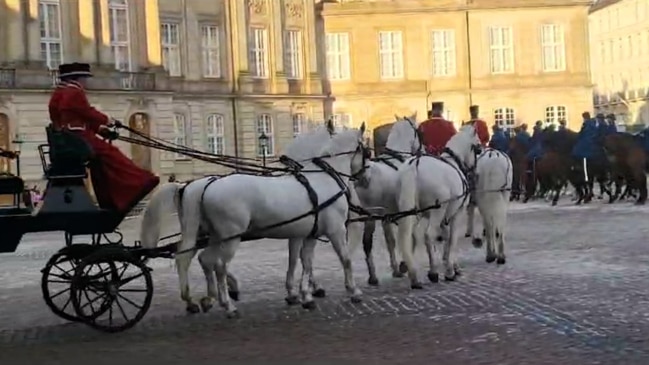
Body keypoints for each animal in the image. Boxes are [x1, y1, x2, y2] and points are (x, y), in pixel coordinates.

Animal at [172, 123, 368, 314]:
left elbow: (305, 263)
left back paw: (210, 298)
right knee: (219, 265)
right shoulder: (335, 231)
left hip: (216, 236)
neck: (323, 179)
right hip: (231, 238)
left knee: (205, 259)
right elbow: (345, 259)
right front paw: (354, 291)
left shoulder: (310, 234)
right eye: (367, 150)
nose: (364, 178)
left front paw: (305, 296)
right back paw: (227, 305)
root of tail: (209, 185)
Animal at [394, 123, 480, 288]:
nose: (475, 172)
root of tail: (414, 165)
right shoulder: (457, 214)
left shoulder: (444, 218)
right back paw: (433, 272)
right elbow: (452, 239)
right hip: (436, 212)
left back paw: (411, 270)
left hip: (412, 212)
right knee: (428, 236)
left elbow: (445, 236)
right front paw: (450, 270)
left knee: (410, 236)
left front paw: (452, 264)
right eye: (478, 148)